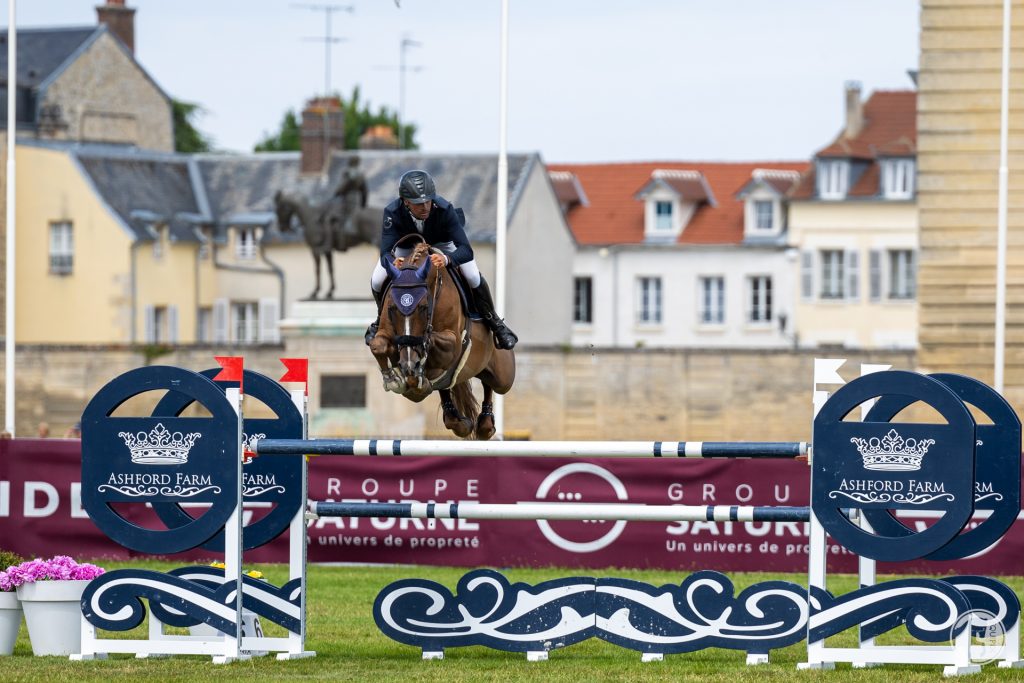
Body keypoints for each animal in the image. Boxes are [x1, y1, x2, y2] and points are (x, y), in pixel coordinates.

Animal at [368, 236, 516, 438]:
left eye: (423, 307)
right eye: (392, 307)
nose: (409, 363)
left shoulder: (453, 342)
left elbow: (432, 342)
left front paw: (415, 376)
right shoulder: (388, 332)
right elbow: (379, 345)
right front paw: (393, 378)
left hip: (504, 375)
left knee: (490, 383)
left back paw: (485, 425)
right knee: (447, 387)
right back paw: (457, 420)